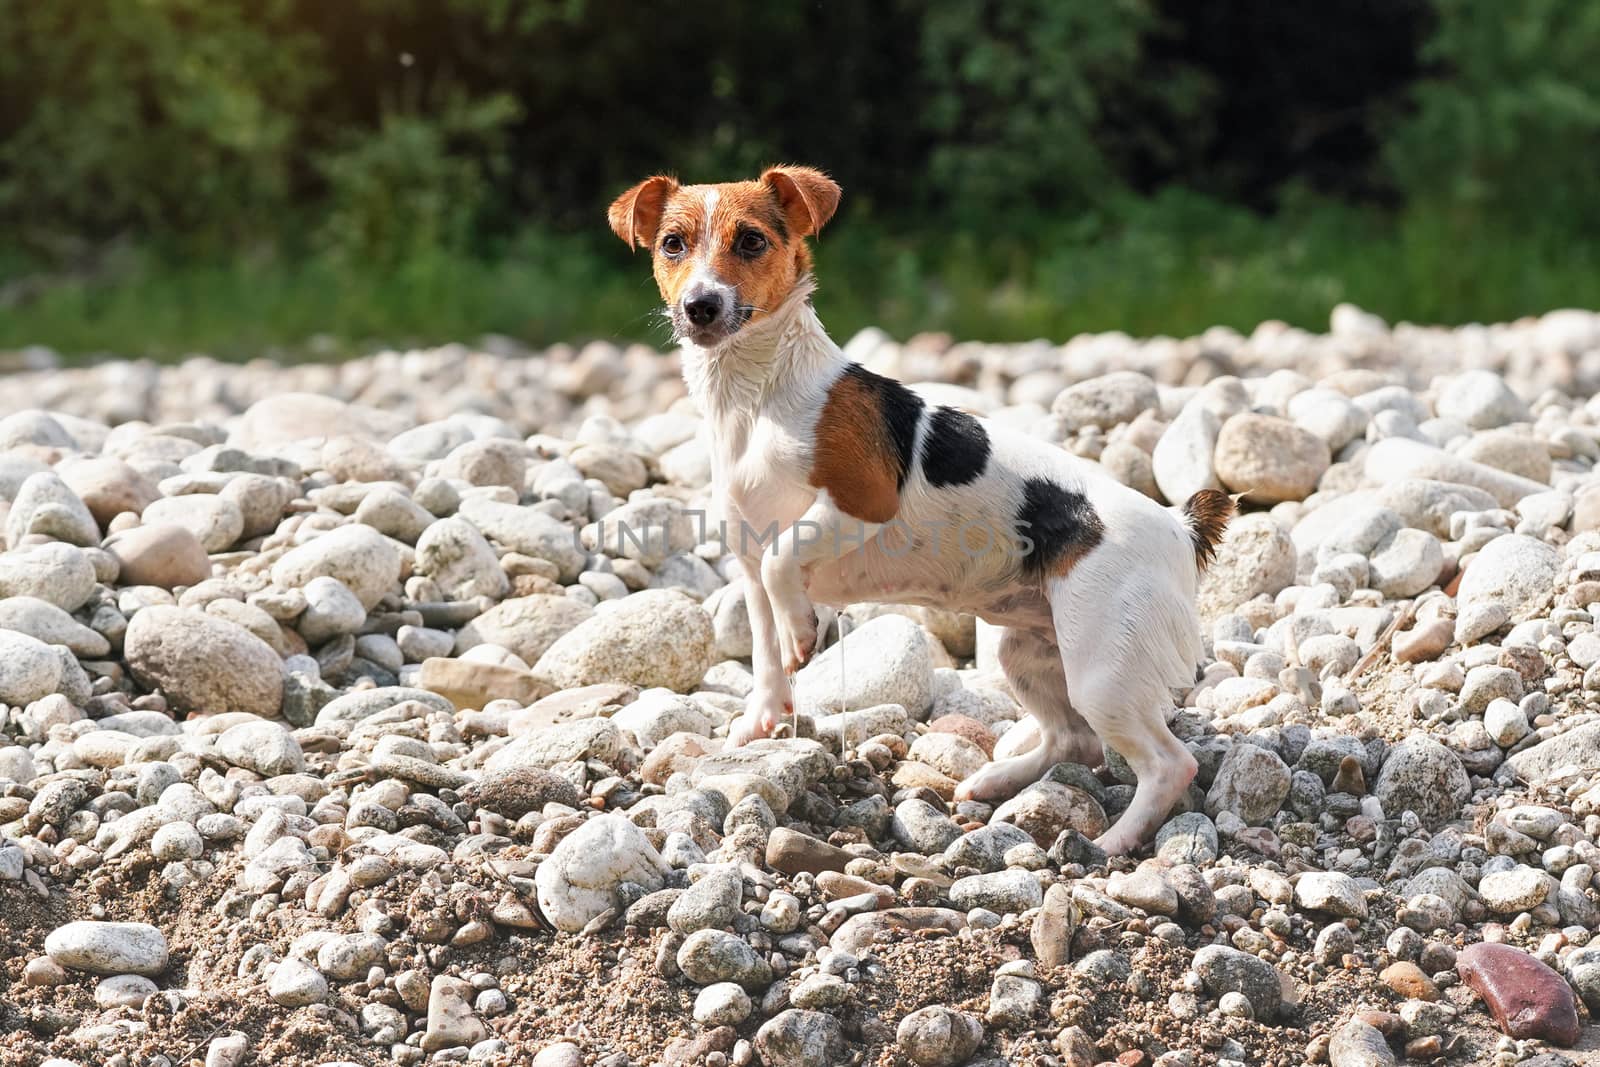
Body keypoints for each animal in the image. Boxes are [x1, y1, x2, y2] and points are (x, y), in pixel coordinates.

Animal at [604, 164, 1228, 851]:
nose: (701, 305)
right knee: (1075, 741)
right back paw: (997, 781)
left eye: (750, 241)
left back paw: (1114, 843)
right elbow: (766, 648)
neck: (756, 395)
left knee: (1168, 764)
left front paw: (804, 631)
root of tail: (1180, 526)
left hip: (1102, 670)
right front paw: (763, 716)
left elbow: (784, 562)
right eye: (672, 245)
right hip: (1026, 652)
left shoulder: (861, 502)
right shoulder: (747, 556)